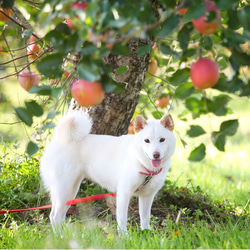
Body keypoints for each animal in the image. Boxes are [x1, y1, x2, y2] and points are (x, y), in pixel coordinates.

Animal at [39, 110, 176, 233]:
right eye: (147, 140)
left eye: (162, 139)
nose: (156, 155)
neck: (143, 164)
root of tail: (59, 139)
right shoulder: (123, 194)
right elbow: (122, 221)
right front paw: (125, 238)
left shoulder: (147, 196)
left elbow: (145, 219)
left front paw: (146, 233)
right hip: (63, 190)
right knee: (54, 216)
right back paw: (60, 237)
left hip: (71, 192)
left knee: (60, 215)